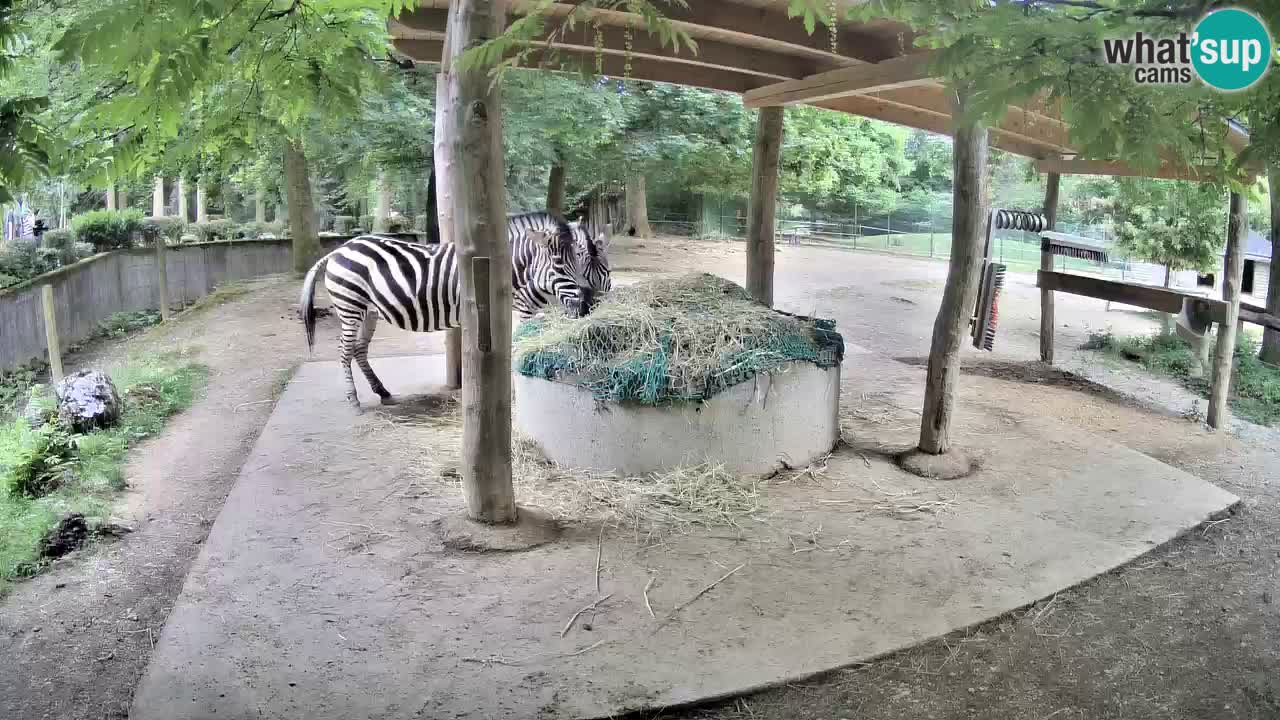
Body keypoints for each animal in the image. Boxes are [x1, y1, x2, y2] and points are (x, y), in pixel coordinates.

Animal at [300, 214, 608, 409]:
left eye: (603, 269)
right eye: (559, 264)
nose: (588, 307)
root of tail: (340, 249)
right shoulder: (518, 310)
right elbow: (514, 349)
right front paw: (510, 395)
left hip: (369, 311)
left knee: (359, 350)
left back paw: (383, 392)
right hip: (350, 306)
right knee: (345, 351)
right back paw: (353, 399)